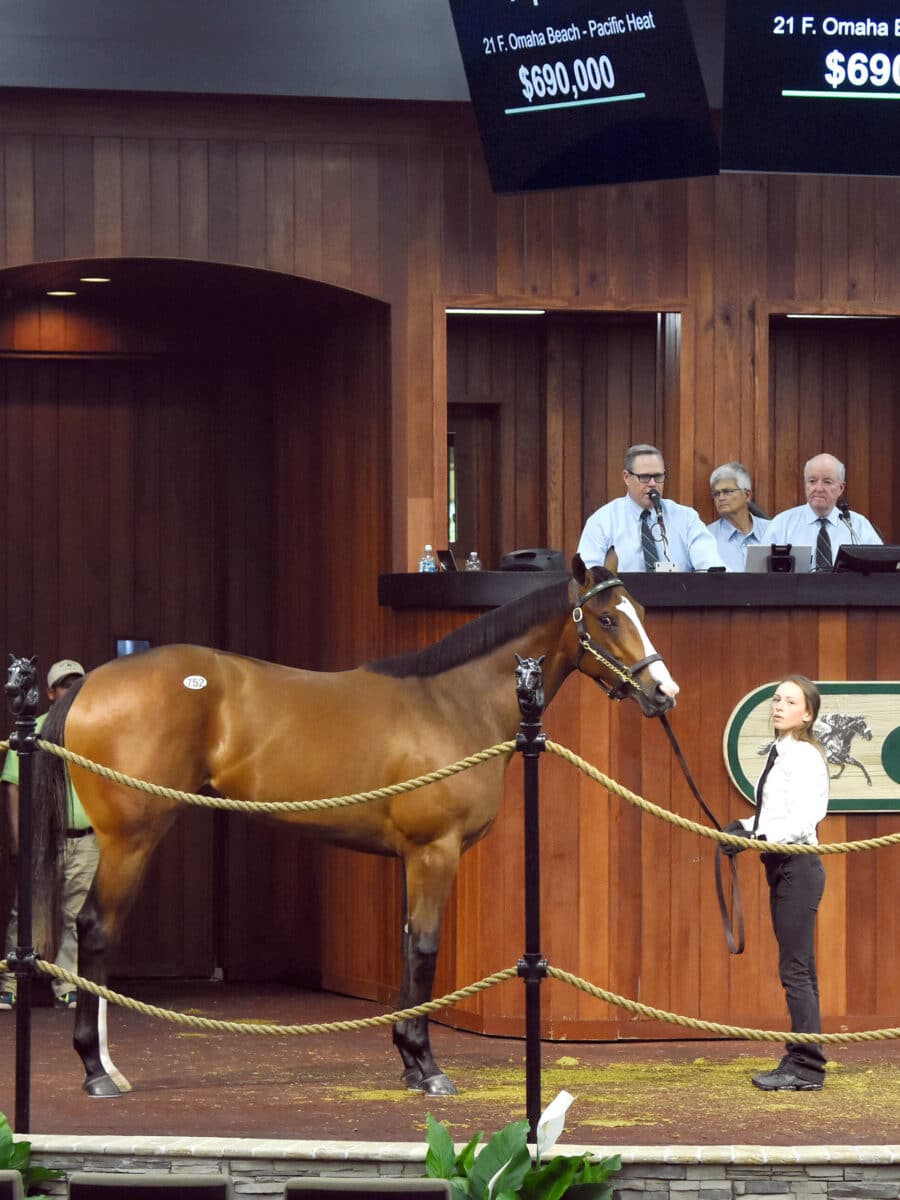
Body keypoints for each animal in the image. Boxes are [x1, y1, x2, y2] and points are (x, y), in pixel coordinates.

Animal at [31, 552, 681, 1099]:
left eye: (643, 613)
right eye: (606, 618)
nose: (664, 691)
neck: (451, 703)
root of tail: (89, 685)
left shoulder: (411, 858)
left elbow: (407, 947)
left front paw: (410, 1062)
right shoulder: (435, 852)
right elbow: (425, 949)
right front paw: (428, 1067)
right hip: (130, 840)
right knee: (94, 930)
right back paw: (97, 1071)